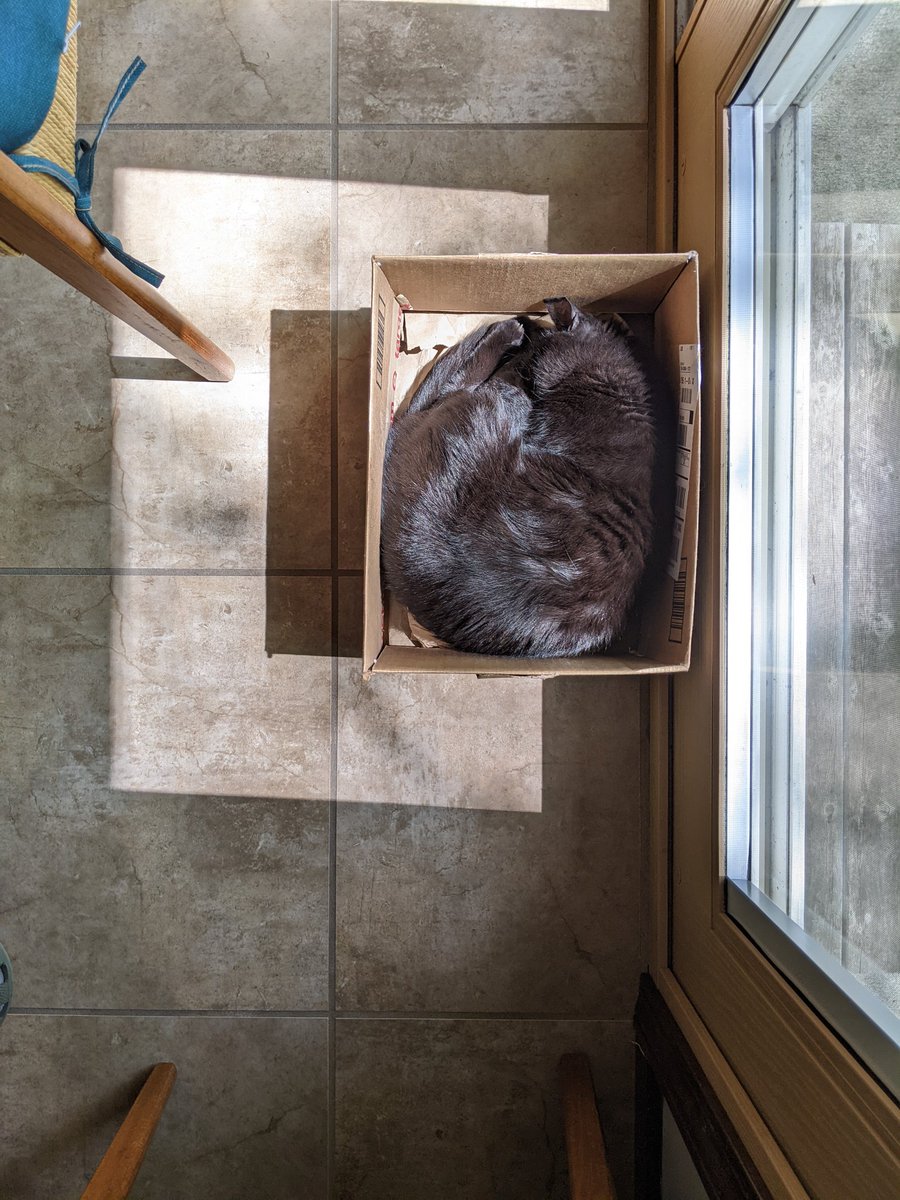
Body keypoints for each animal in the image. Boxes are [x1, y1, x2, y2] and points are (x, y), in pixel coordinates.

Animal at [381, 298, 676, 657]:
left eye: (533, 364)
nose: (522, 359)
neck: (612, 389)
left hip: (501, 399)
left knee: (454, 385)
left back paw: (508, 330)